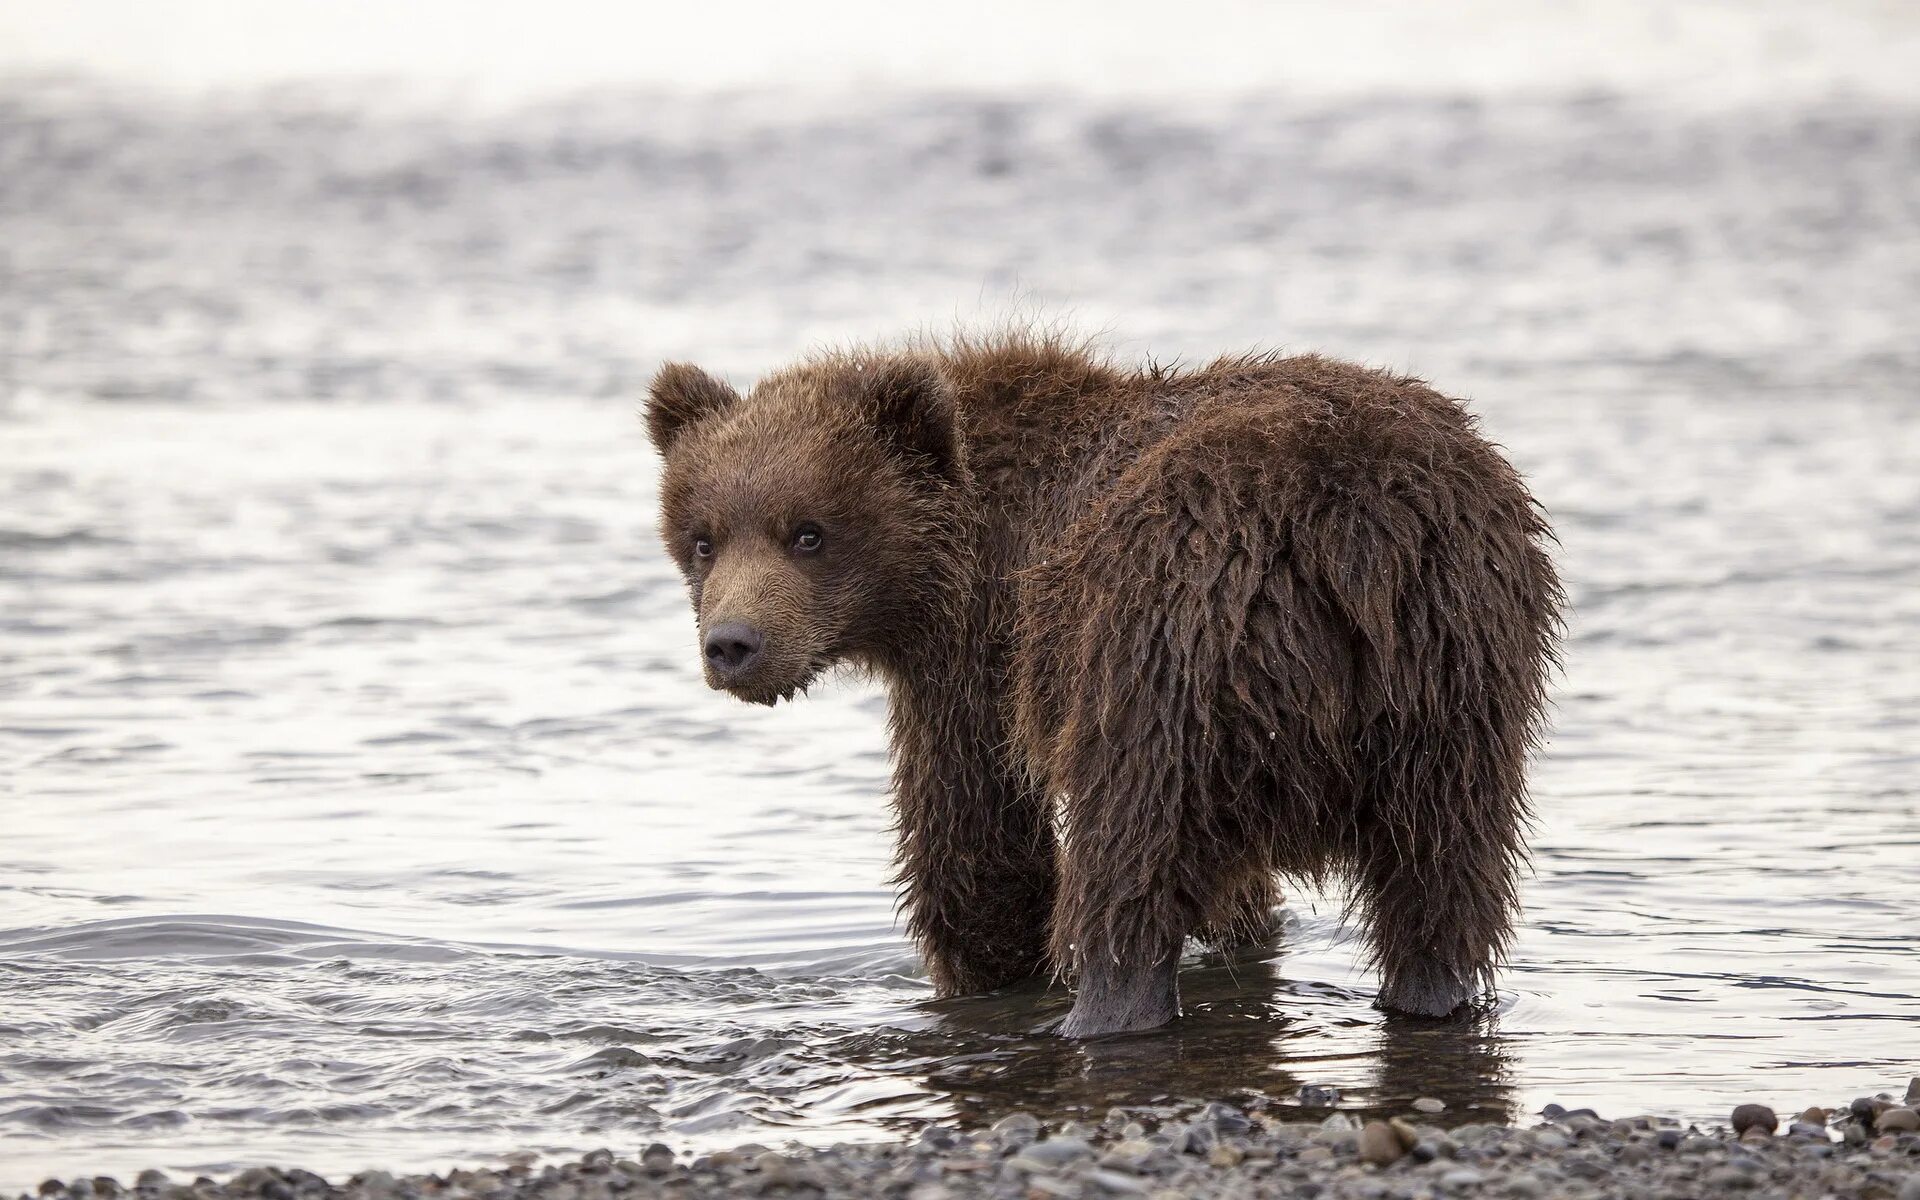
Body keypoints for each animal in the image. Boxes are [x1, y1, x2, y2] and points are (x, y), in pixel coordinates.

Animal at [645, 330, 1559, 1036]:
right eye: (703, 537)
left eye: (809, 532)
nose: (733, 644)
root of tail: (1348, 532)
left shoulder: (985, 654)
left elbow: (977, 836)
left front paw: (987, 968)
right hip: (1456, 675)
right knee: (1443, 871)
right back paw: (1432, 992)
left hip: (1161, 645)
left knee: (1128, 847)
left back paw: (1099, 1010)